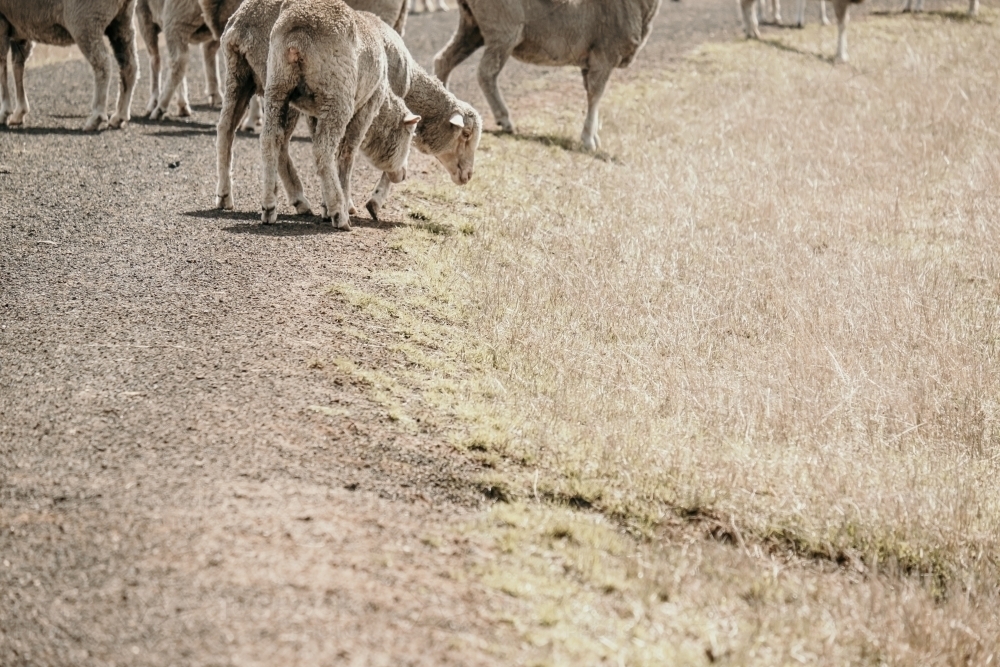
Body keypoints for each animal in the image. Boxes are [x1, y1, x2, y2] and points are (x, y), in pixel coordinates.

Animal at [0, 0, 138, 130]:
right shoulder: (20, 26)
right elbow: (17, 65)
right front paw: (19, 113)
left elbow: (2, 68)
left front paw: (5, 112)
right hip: (122, 21)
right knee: (130, 66)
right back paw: (119, 116)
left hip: (86, 21)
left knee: (103, 64)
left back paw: (96, 118)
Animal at [432, 0, 664, 151]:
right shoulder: (604, 54)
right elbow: (596, 95)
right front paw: (589, 141)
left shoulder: (593, 60)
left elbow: (593, 95)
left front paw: (594, 137)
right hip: (502, 28)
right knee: (486, 73)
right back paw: (504, 119)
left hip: (472, 26)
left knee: (444, 59)